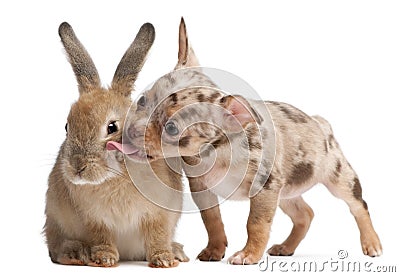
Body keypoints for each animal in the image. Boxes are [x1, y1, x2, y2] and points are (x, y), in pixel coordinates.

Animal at [43, 22, 189, 268]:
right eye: (67, 126)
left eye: (112, 127)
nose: (77, 167)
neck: (116, 175)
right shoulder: (94, 219)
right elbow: (102, 237)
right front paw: (104, 258)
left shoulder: (158, 214)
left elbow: (157, 236)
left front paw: (164, 260)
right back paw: (75, 253)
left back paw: (177, 251)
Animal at [121, 18, 382, 264]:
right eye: (142, 100)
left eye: (172, 128)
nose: (129, 130)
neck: (217, 151)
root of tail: (320, 123)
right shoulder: (203, 189)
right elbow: (212, 220)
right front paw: (215, 249)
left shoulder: (264, 190)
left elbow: (256, 224)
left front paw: (249, 254)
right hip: (286, 193)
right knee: (305, 215)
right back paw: (286, 247)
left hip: (338, 177)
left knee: (358, 205)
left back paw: (371, 242)